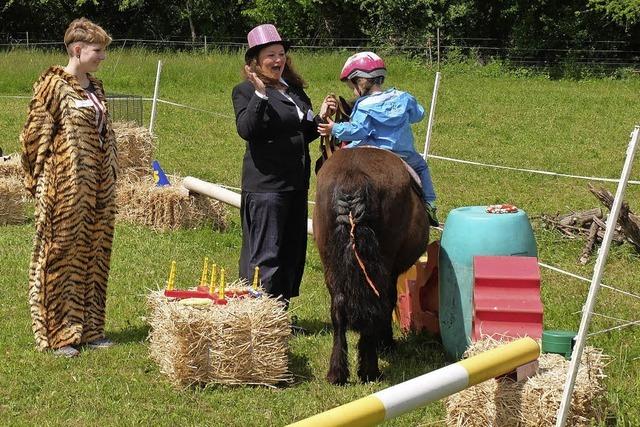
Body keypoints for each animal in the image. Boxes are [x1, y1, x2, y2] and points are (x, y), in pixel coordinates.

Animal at [312, 147, 428, 384]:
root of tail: (353, 180)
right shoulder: (391, 272)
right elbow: (389, 301)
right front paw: (385, 343)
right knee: (373, 306)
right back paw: (369, 369)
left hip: (331, 266)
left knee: (338, 309)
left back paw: (337, 373)